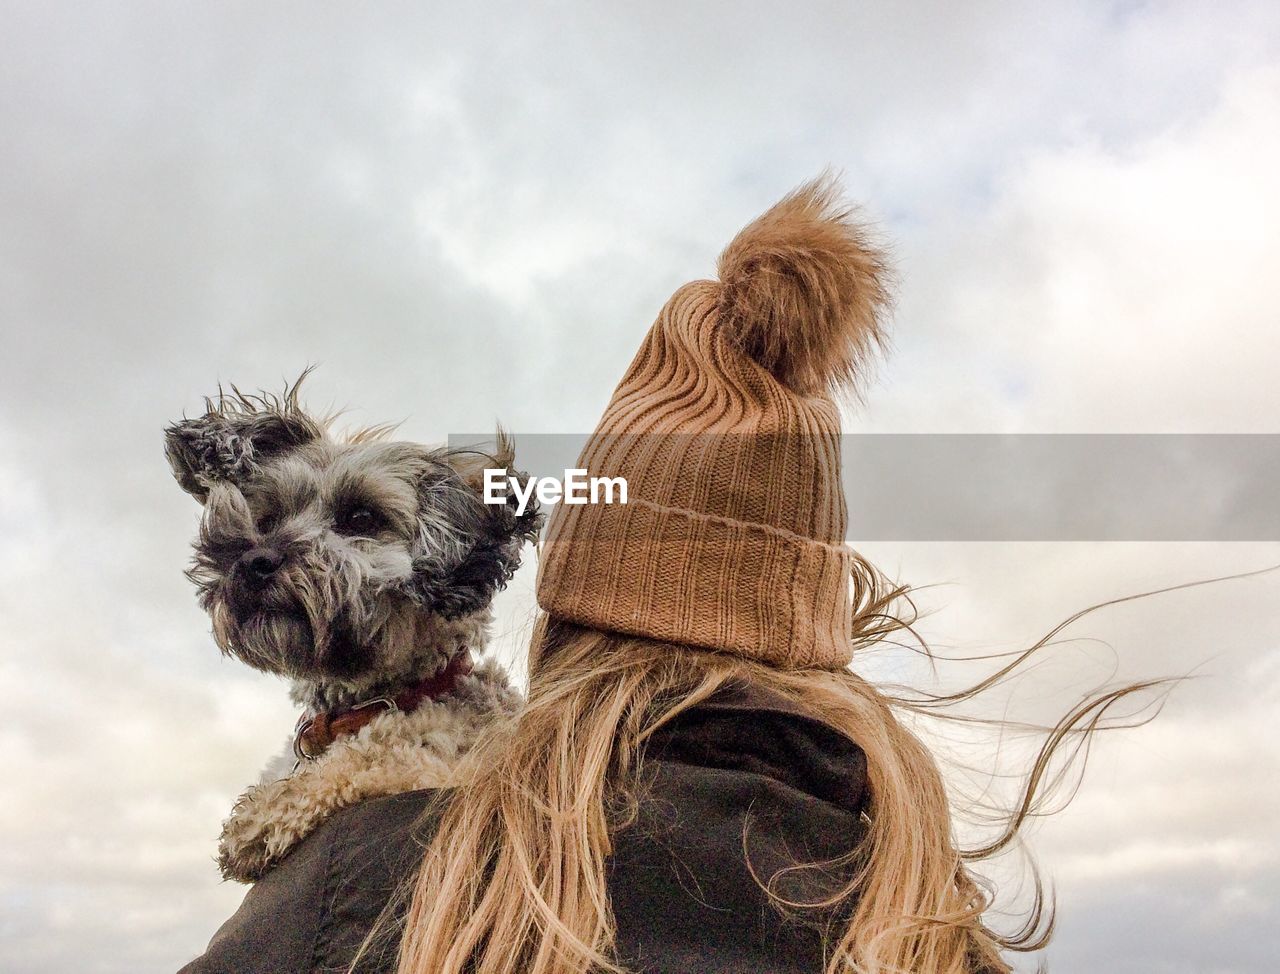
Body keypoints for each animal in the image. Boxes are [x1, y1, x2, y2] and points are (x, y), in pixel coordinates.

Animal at [163, 373, 540, 880]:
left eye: (361, 517)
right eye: (267, 517)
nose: (254, 563)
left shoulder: (446, 766)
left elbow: (373, 759)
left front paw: (261, 816)